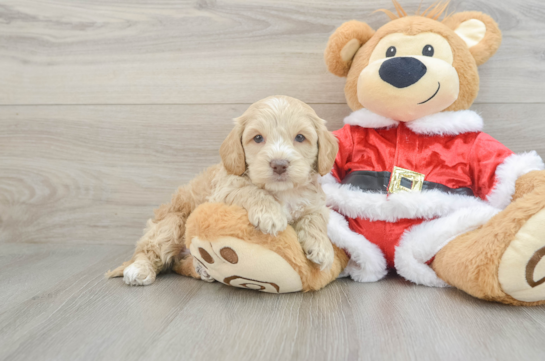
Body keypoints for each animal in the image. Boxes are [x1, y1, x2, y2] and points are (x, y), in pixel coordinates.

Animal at [105, 95, 336, 284]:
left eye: (300, 137)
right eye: (258, 138)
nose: (279, 164)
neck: (283, 191)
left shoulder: (314, 202)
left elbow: (316, 218)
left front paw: (322, 248)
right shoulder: (224, 190)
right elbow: (250, 190)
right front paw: (270, 214)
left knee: (179, 265)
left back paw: (202, 270)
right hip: (171, 224)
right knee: (150, 250)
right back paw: (139, 269)